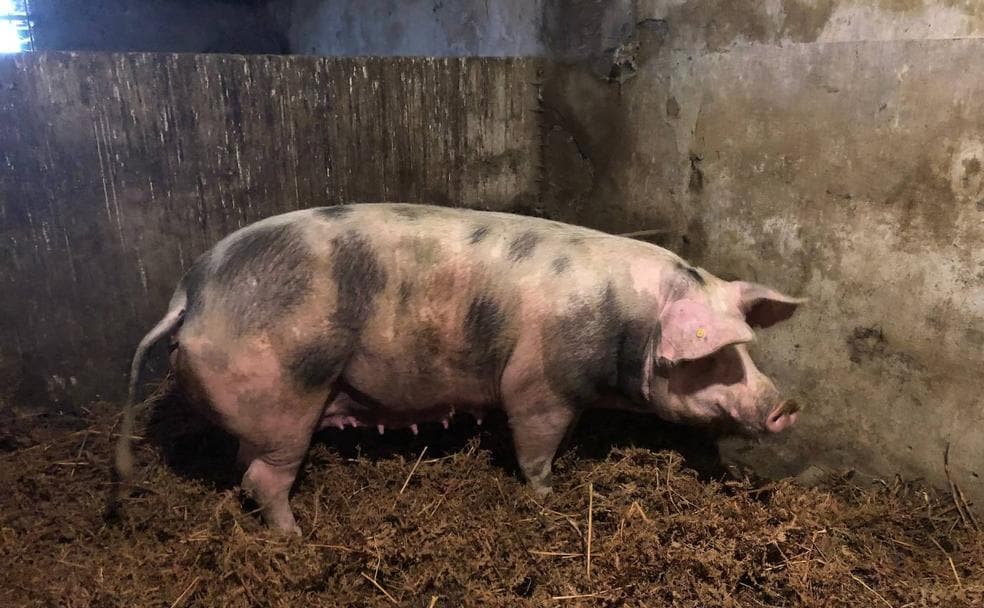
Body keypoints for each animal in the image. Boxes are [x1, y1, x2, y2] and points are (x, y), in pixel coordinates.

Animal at [115, 203, 808, 532]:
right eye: (715, 356)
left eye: (745, 351)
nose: (786, 405)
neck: (624, 324)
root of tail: (191, 295)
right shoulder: (538, 384)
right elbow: (533, 446)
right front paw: (548, 497)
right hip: (288, 394)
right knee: (264, 477)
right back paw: (296, 539)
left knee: (244, 466)